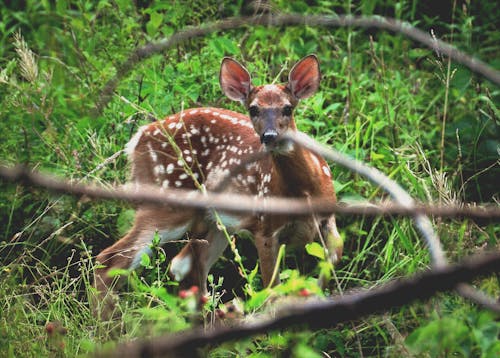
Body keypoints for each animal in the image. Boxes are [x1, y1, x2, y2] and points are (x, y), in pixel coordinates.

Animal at [94, 55, 340, 302]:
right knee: (111, 259)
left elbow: (335, 253)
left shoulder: (328, 215)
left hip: (213, 221)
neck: (304, 191)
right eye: (253, 109)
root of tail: (136, 140)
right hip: (167, 200)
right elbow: (272, 291)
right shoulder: (265, 225)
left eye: (288, 108)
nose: (269, 136)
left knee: (184, 263)